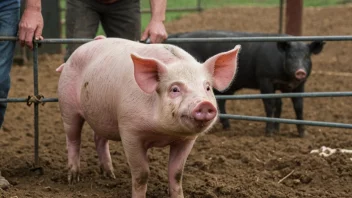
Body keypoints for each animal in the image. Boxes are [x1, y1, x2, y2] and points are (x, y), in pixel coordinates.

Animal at [57, 36, 241, 196]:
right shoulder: (130, 131)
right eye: (175, 89)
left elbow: (176, 174)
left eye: (207, 87)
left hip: (103, 115)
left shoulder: (187, 140)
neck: (163, 133)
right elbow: (142, 174)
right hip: (67, 105)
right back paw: (73, 178)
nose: (204, 104)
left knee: (99, 138)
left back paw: (110, 175)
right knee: (73, 138)